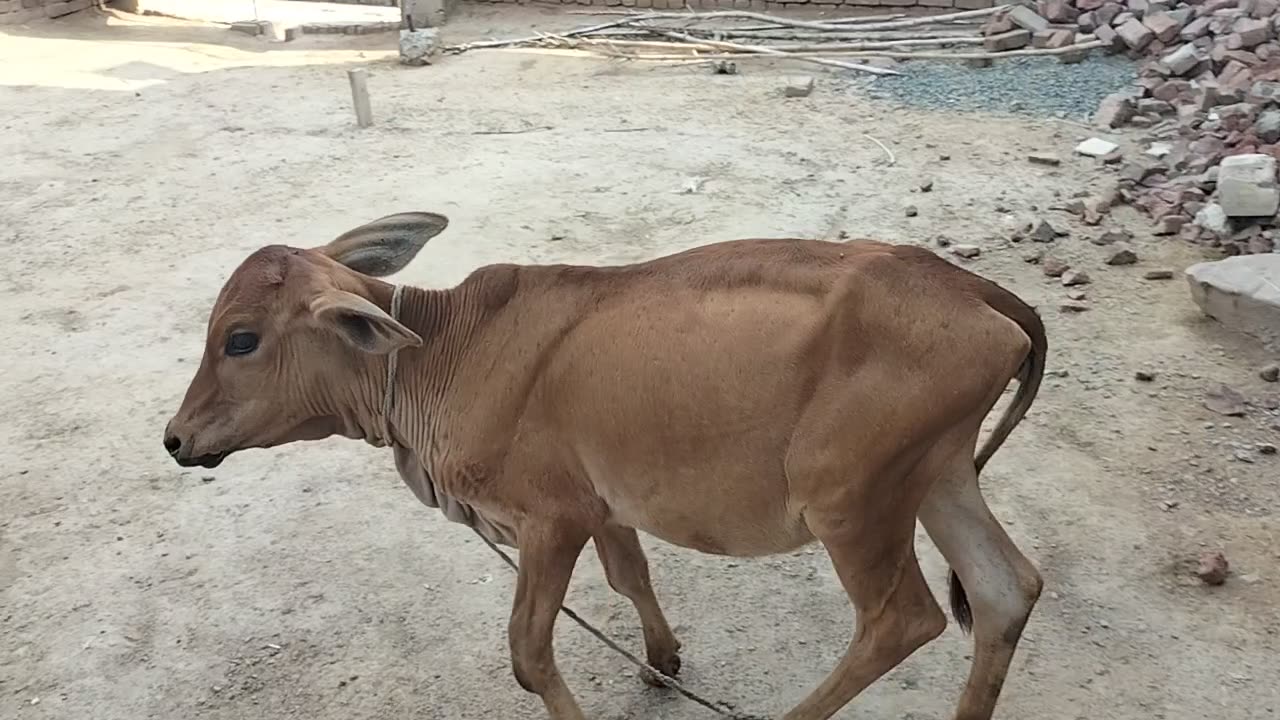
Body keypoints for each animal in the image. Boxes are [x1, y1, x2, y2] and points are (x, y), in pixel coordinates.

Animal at [165, 211, 1044, 717]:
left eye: (240, 338)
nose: (174, 438)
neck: (443, 353)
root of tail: (972, 289)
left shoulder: (549, 522)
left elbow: (528, 656)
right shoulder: (602, 507)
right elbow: (632, 579)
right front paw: (662, 662)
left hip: (853, 504)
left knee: (904, 621)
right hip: (937, 476)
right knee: (1007, 589)